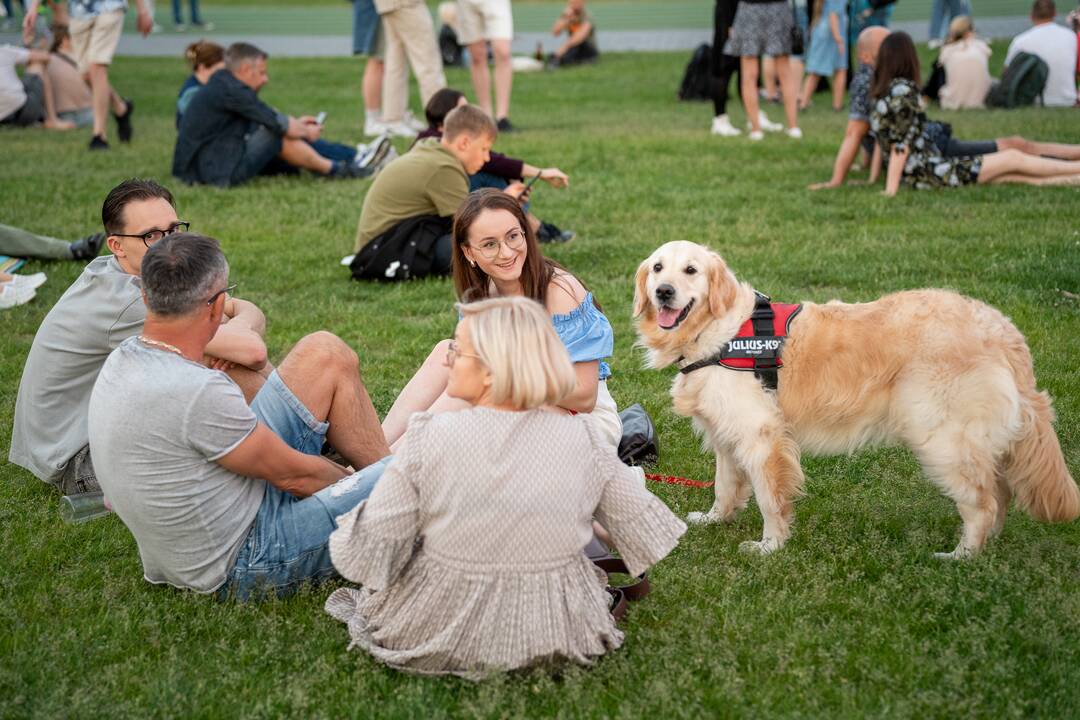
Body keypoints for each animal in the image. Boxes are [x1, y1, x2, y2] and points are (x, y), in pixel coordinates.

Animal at [635, 240, 1075, 557]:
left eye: (691, 270)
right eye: (658, 267)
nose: (664, 292)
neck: (717, 331)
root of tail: (1002, 328)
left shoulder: (761, 435)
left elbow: (770, 498)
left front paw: (769, 547)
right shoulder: (727, 433)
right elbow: (724, 487)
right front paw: (714, 519)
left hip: (943, 439)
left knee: (983, 502)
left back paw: (962, 556)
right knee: (999, 493)